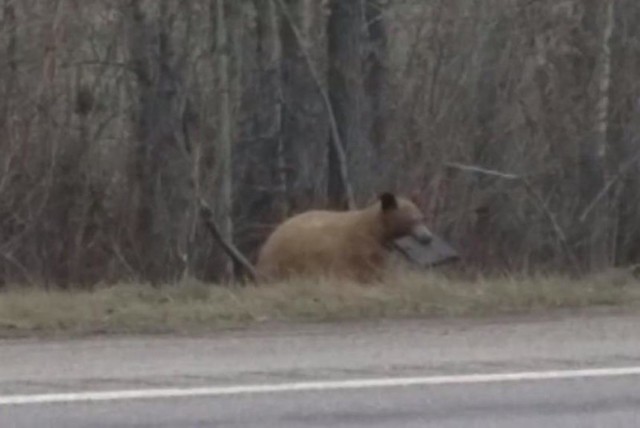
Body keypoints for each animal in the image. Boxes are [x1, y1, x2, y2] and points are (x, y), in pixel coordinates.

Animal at [254, 192, 430, 282]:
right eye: (413, 219)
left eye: (422, 217)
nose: (428, 237)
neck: (375, 229)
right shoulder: (356, 250)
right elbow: (358, 273)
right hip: (284, 262)